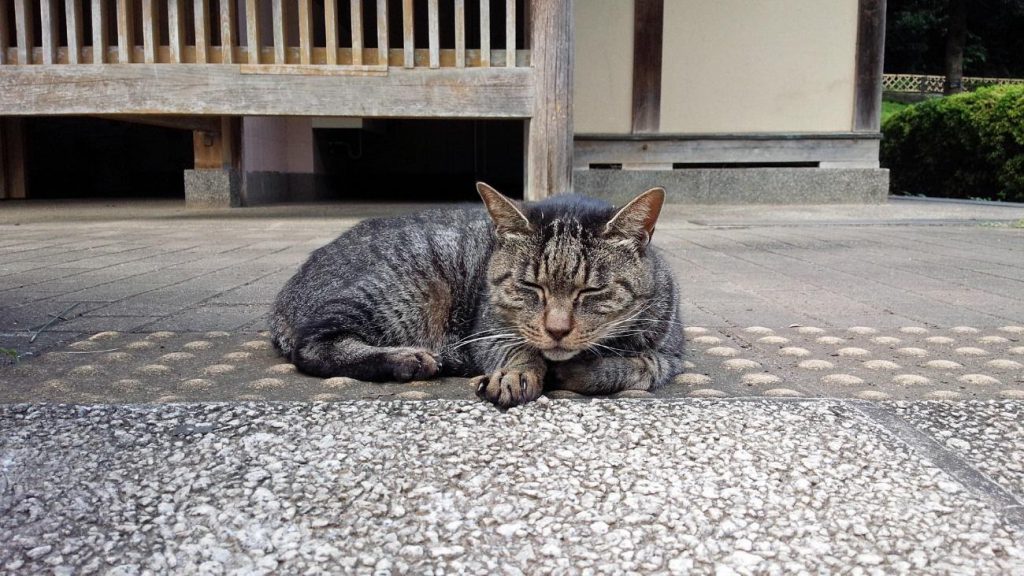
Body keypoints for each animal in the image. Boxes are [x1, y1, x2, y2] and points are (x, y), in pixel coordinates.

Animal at [272, 181, 684, 405]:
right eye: (530, 285)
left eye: (593, 290)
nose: (557, 330)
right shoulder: (489, 329)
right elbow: (518, 352)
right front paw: (517, 374)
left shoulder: (670, 355)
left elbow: (636, 367)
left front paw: (576, 369)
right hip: (400, 291)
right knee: (312, 347)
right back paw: (408, 358)